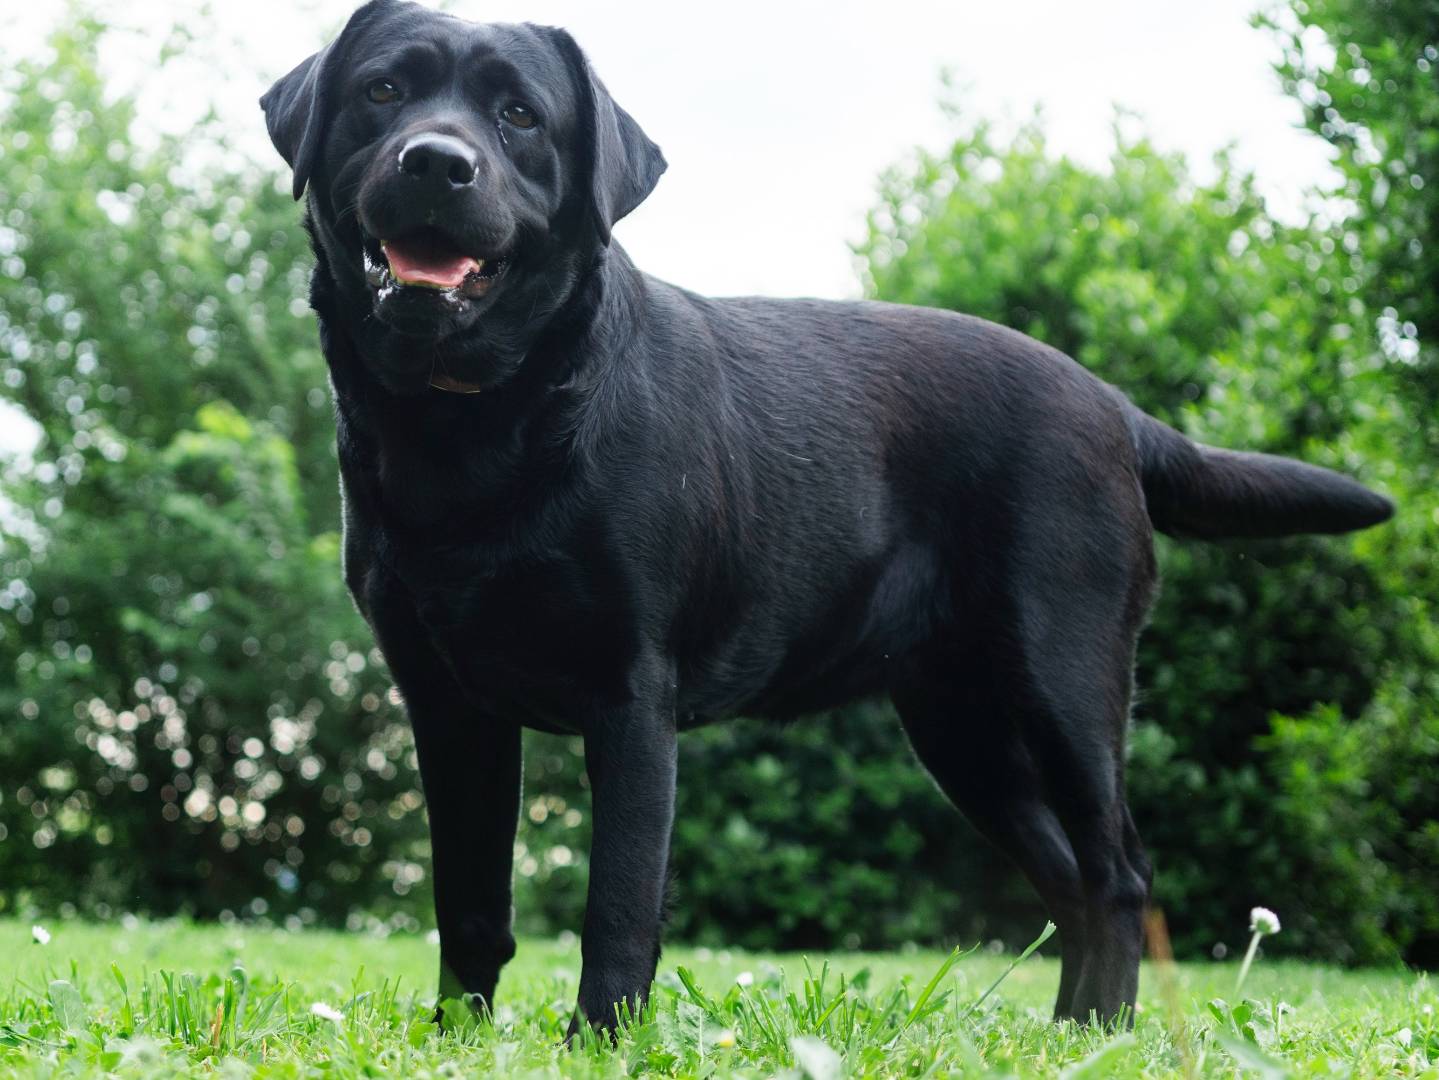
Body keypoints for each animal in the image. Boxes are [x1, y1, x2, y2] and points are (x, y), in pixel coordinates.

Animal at [261, 0, 1392, 1029]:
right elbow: (469, 904)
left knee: (1117, 872)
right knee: (1070, 878)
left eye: (519, 116)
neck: (477, 422)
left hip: (1063, 683)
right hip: (962, 729)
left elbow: (618, 902)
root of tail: (1110, 402)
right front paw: (458, 1037)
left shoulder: (631, 692)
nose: (436, 163)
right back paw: (1066, 1033)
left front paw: (601, 1039)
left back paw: (1098, 1035)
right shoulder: (448, 703)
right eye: (383, 91)